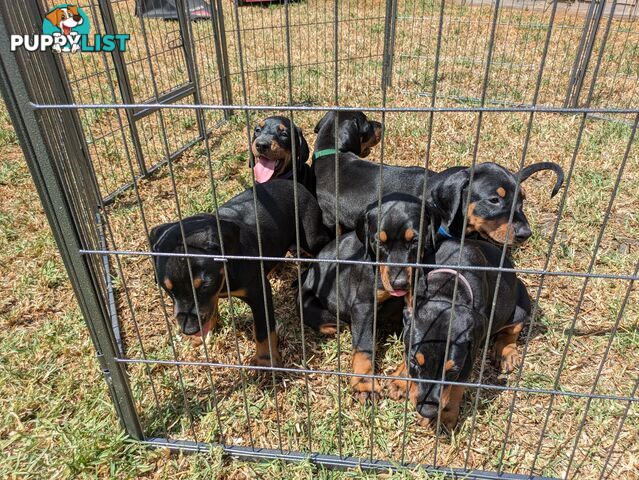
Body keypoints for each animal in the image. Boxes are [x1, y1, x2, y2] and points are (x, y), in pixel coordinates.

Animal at [300, 193, 436, 404]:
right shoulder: (363, 304)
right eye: (379, 243)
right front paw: (365, 384)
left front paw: (402, 380)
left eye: (415, 240)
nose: (399, 284)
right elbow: (363, 346)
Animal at [390, 238, 528, 430]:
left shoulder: (469, 355)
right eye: (414, 362)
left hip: (518, 307)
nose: (427, 411)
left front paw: (445, 417)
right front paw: (400, 381)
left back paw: (506, 353)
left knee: (514, 328)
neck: (448, 290)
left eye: (452, 371)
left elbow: (457, 387)